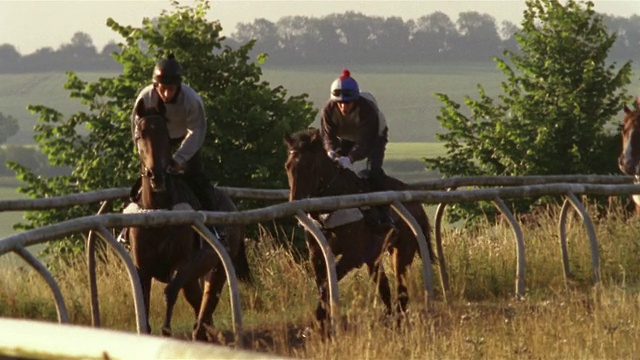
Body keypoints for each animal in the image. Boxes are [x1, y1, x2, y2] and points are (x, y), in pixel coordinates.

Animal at [129, 100, 251, 342]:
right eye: (140, 135)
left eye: (166, 136)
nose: (156, 175)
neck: (159, 213)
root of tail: (231, 203)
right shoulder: (142, 268)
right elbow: (144, 303)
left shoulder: (184, 263)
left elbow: (170, 291)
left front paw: (166, 330)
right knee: (197, 296)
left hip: (218, 263)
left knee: (209, 294)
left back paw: (202, 330)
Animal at [284, 128, 436, 334]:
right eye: (288, 166)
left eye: (310, 167)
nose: (295, 203)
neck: (333, 206)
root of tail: (415, 203)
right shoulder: (317, 253)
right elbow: (322, 284)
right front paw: (320, 323)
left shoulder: (352, 255)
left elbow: (327, 283)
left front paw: (320, 320)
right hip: (373, 256)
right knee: (384, 287)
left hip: (403, 249)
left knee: (401, 288)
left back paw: (399, 320)